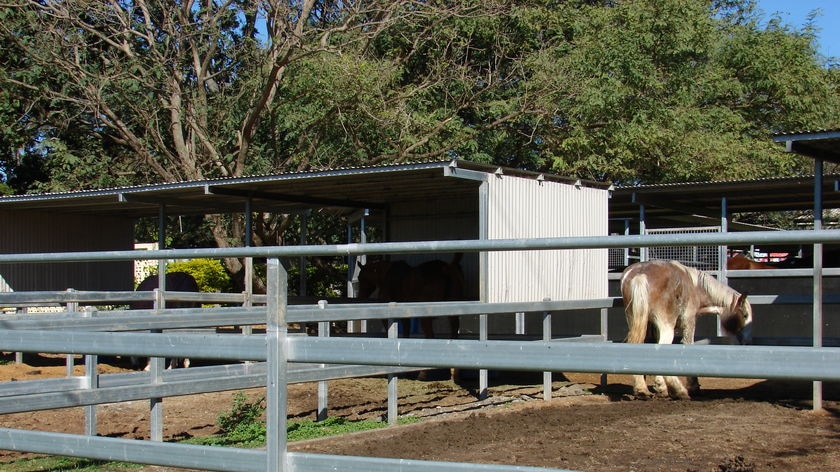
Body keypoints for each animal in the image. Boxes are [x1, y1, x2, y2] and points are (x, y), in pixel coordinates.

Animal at [616, 260, 756, 400]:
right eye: (745, 315)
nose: (748, 341)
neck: (696, 287)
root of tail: (641, 274)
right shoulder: (689, 322)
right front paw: (692, 387)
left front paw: (661, 387)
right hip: (667, 327)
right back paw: (679, 390)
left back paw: (642, 390)